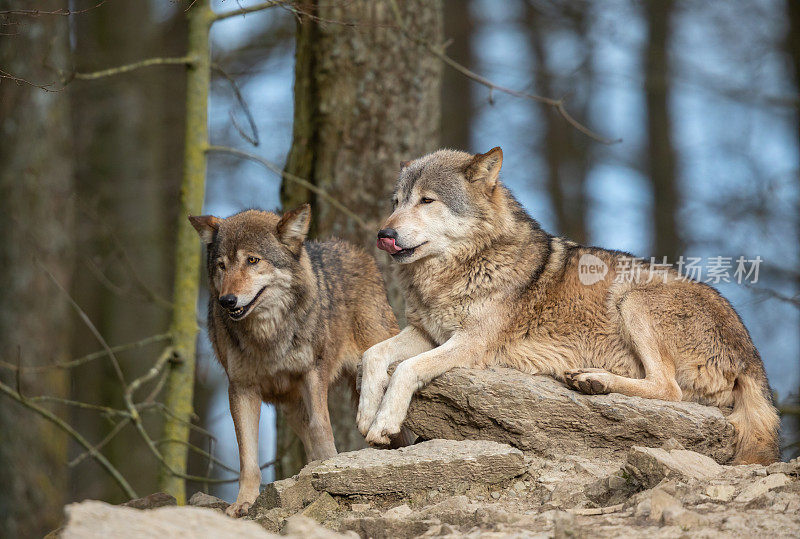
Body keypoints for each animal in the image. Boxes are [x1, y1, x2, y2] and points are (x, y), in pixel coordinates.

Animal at [188, 205, 400, 516]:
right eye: (222, 266)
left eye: (252, 260)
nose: (228, 300)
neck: (268, 336)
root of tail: (357, 252)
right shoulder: (241, 389)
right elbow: (247, 458)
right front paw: (244, 502)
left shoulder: (313, 375)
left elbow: (322, 430)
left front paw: (330, 472)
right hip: (291, 409)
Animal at [358, 147, 780, 464]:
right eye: (397, 202)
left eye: (427, 201)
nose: (383, 233)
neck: (463, 267)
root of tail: (753, 358)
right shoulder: (428, 332)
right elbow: (372, 354)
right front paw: (366, 414)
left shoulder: (471, 344)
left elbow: (407, 368)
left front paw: (384, 422)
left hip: (633, 298)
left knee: (669, 389)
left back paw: (594, 380)